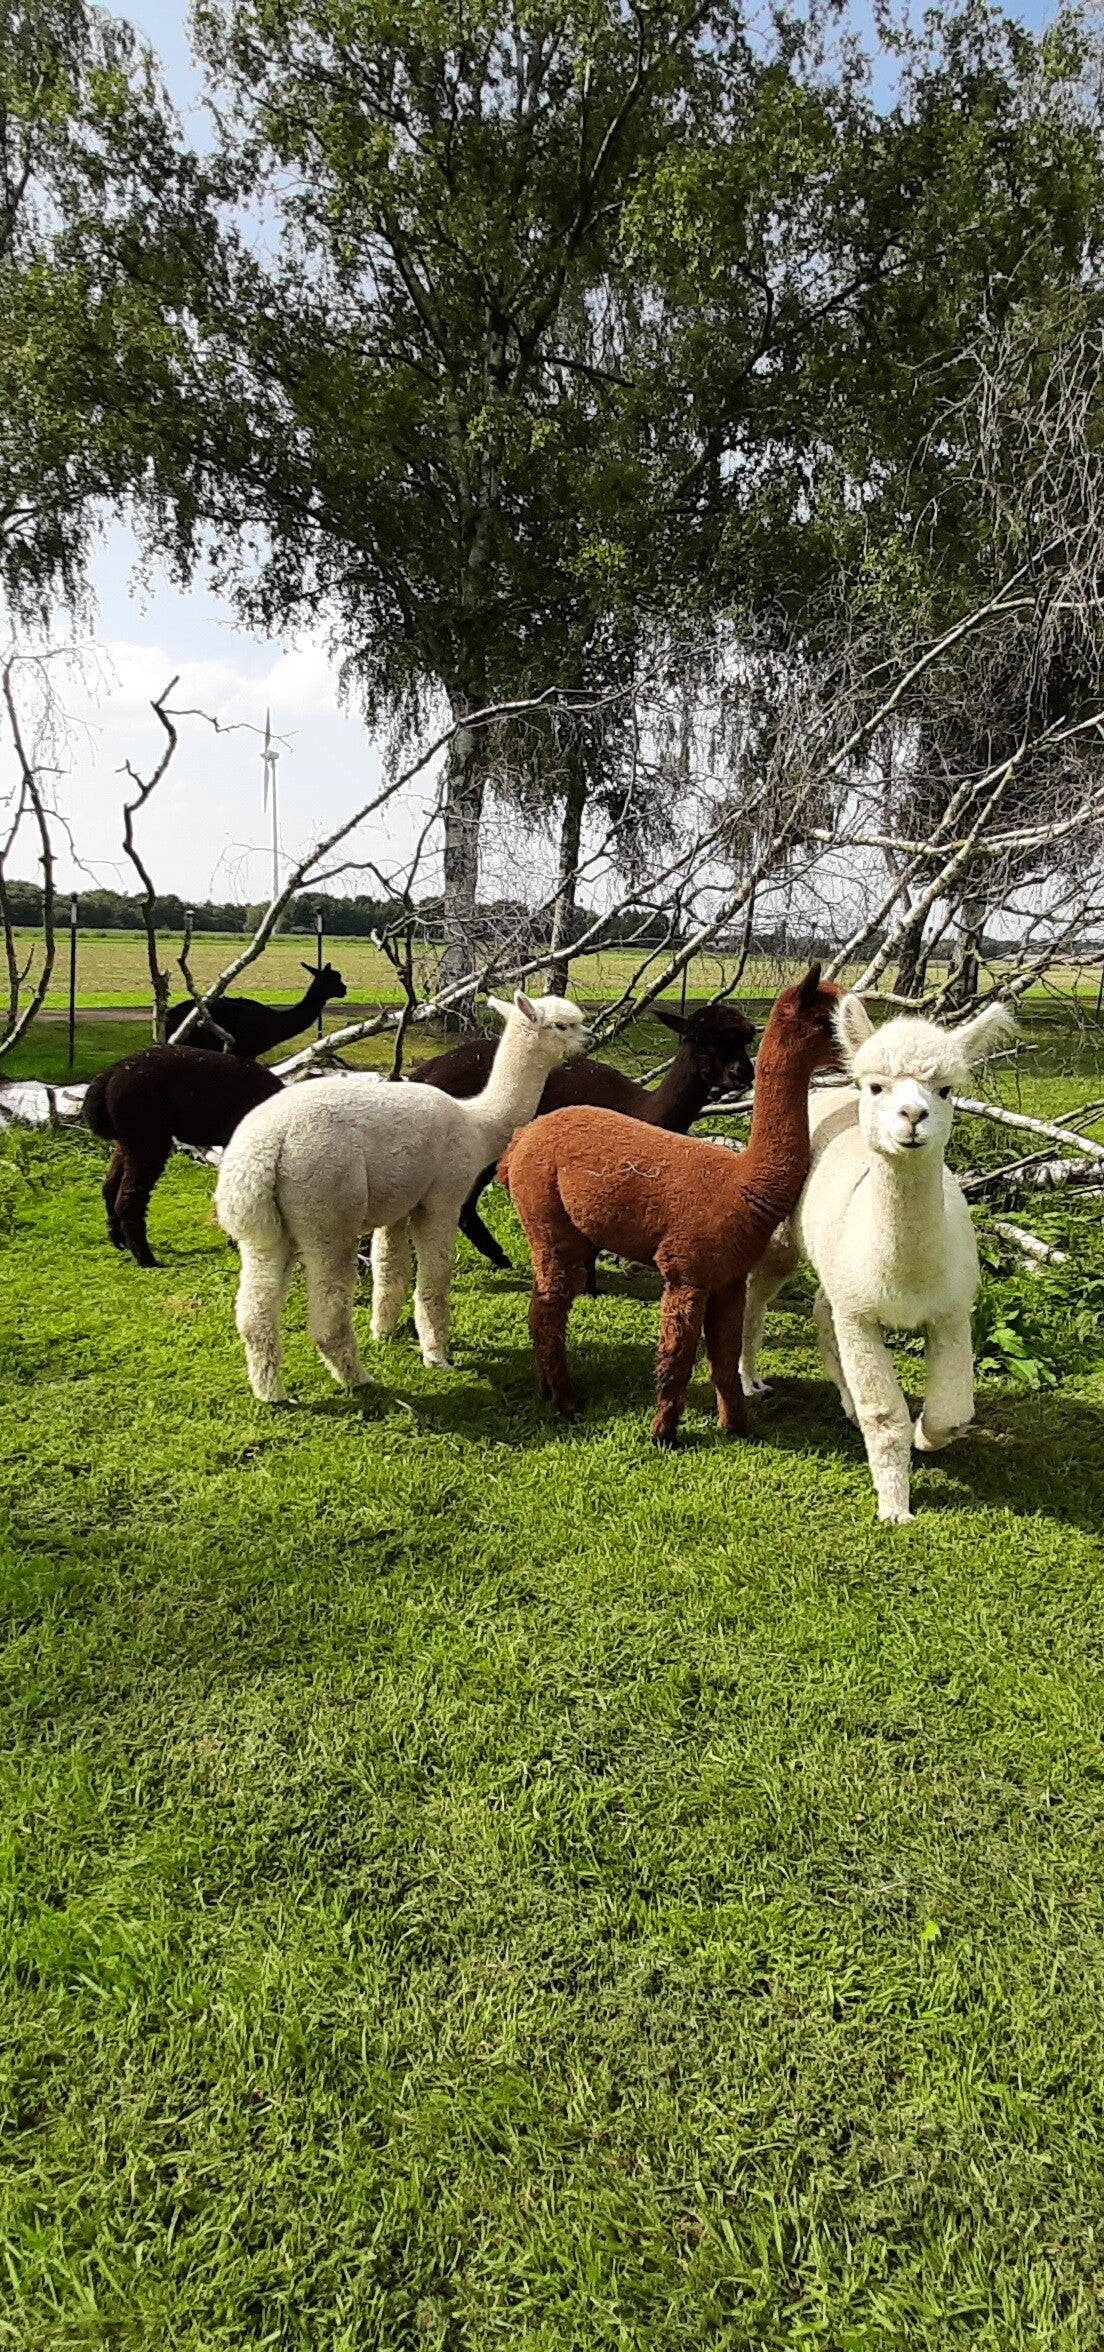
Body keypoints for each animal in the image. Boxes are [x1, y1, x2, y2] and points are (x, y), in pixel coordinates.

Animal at [83, 1046, 284, 1267]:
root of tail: (108, 1075)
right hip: (147, 1135)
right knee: (130, 1198)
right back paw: (147, 1259)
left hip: (128, 1140)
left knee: (109, 1186)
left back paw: (119, 1242)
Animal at [215, 991, 589, 1401]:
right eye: (562, 1025)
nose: (588, 1040)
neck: (477, 1124)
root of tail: (263, 1148)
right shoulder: (441, 1198)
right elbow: (436, 1273)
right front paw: (436, 1354)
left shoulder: (399, 1204)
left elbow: (389, 1268)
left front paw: (384, 1332)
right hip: (327, 1205)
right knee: (329, 1304)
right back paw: (357, 1378)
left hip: (265, 1231)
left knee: (254, 1308)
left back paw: (272, 1393)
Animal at [501, 967, 851, 1446]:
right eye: (827, 1020)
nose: (859, 1046)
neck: (741, 1182)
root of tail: (524, 1136)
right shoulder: (687, 1271)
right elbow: (676, 1360)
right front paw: (663, 1434)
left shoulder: (728, 1279)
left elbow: (724, 1360)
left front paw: (737, 1428)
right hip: (547, 1218)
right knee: (549, 1311)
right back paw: (568, 1402)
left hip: (566, 1232)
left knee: (540, 1308)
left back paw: (547, 1391)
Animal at [738, 997, 1018, 1523]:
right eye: (876, 1086)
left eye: (946, 1089)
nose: (912, 1115)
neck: (906, 1281)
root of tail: (829, 1092)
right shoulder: (861, 1316)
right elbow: (885, 1415)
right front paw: (894, 1507)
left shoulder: (950, 1311)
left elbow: (952, 1411)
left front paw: (926, 1437)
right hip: (782, 1236)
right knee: (758, 1295)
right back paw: (749, 1379)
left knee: (820, 1311)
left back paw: (843, 1401)